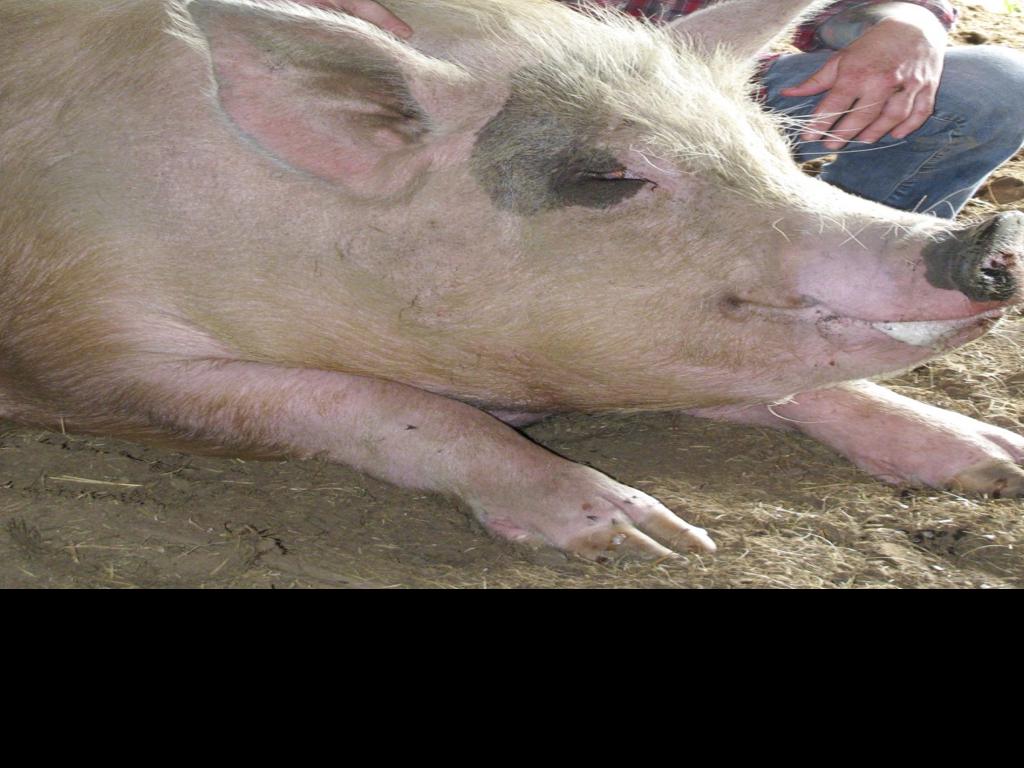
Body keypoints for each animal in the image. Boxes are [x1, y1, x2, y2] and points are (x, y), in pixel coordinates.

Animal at [1, 0, 1022, 562]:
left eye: (775, 147)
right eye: (606, 178)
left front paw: (1000, 458)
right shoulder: (90, 347)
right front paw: (653, 540)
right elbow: (378, 407)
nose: (987, 239)